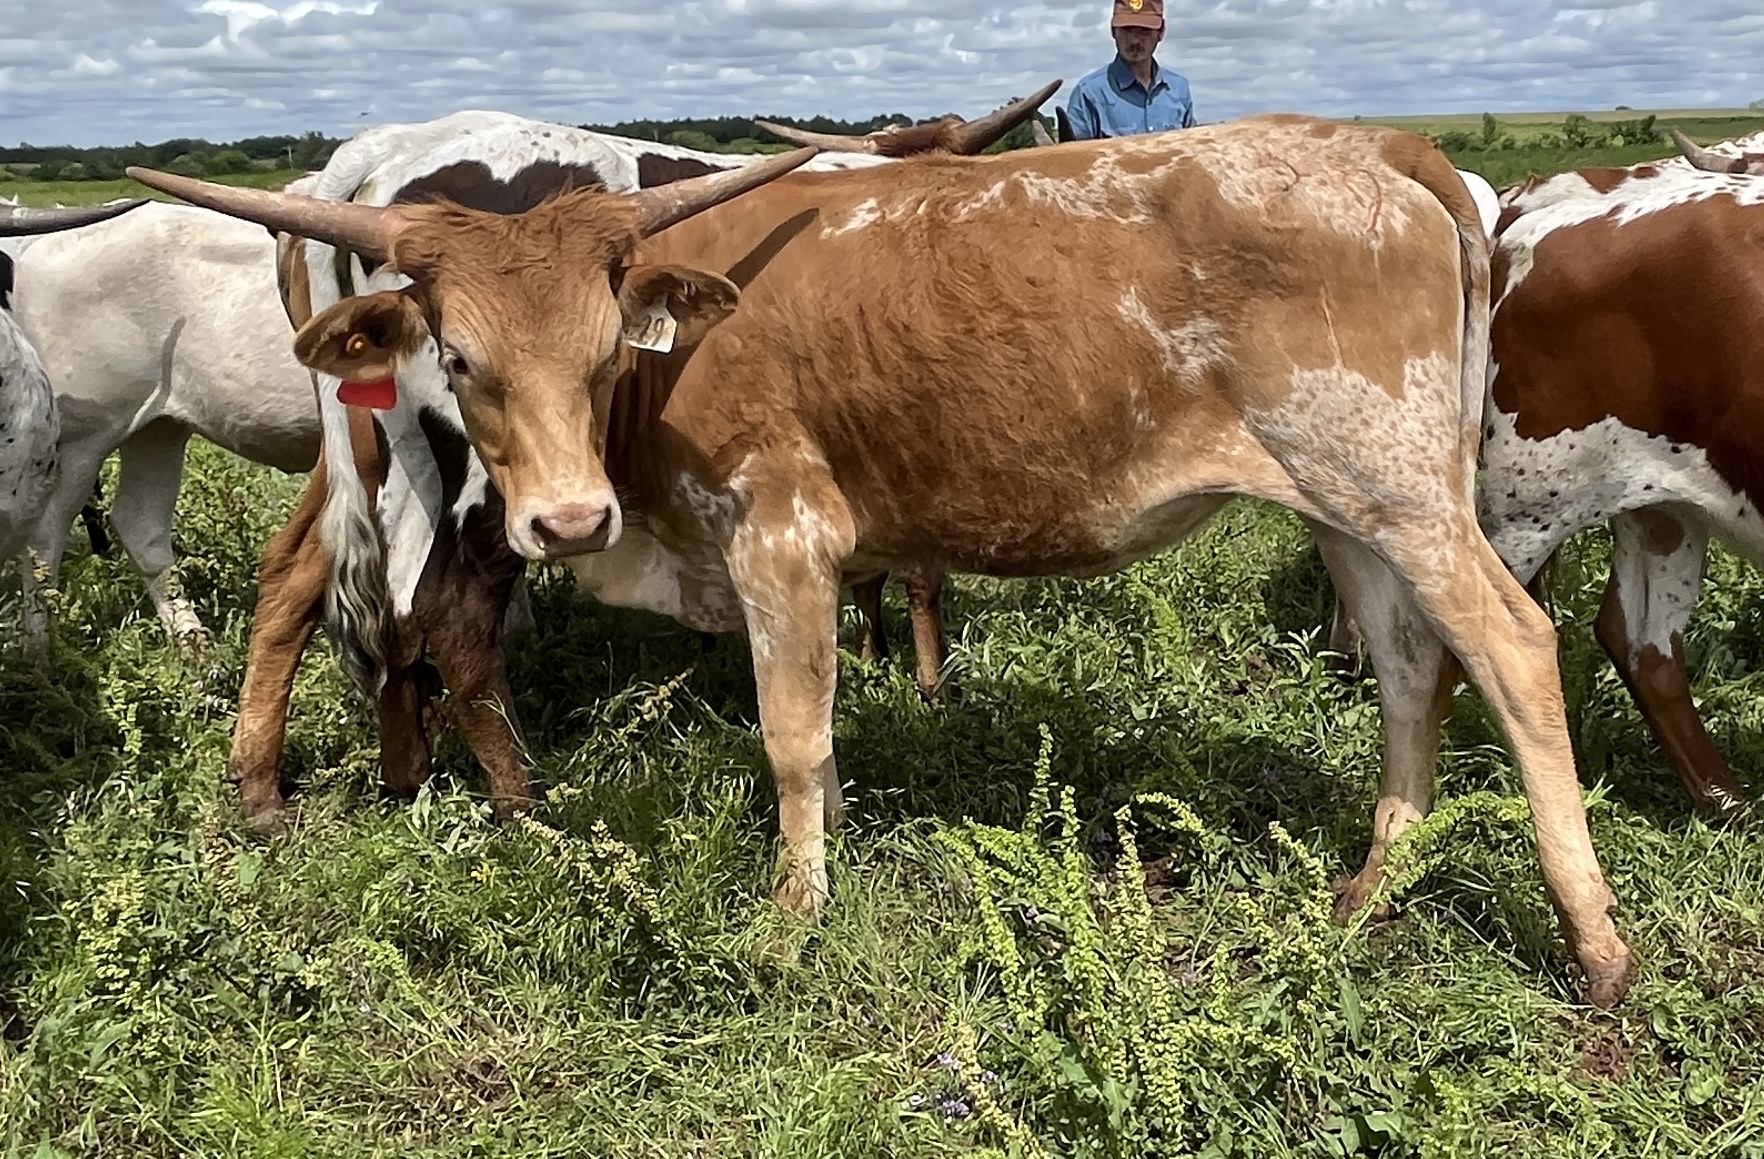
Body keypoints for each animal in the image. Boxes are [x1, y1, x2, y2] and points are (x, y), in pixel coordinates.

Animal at [131, 114, 1638, 1006]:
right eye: (460, 357)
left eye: (605, 345)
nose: (565, 523)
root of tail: (1377, 147)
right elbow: (819, 737)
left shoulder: (783, 533)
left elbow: (793, 734)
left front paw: (794, 912)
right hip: (1349, 503)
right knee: (1407, 663)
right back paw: (1372, 884)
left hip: (1398, 490)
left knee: (1509, 646)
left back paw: (1595, 942)